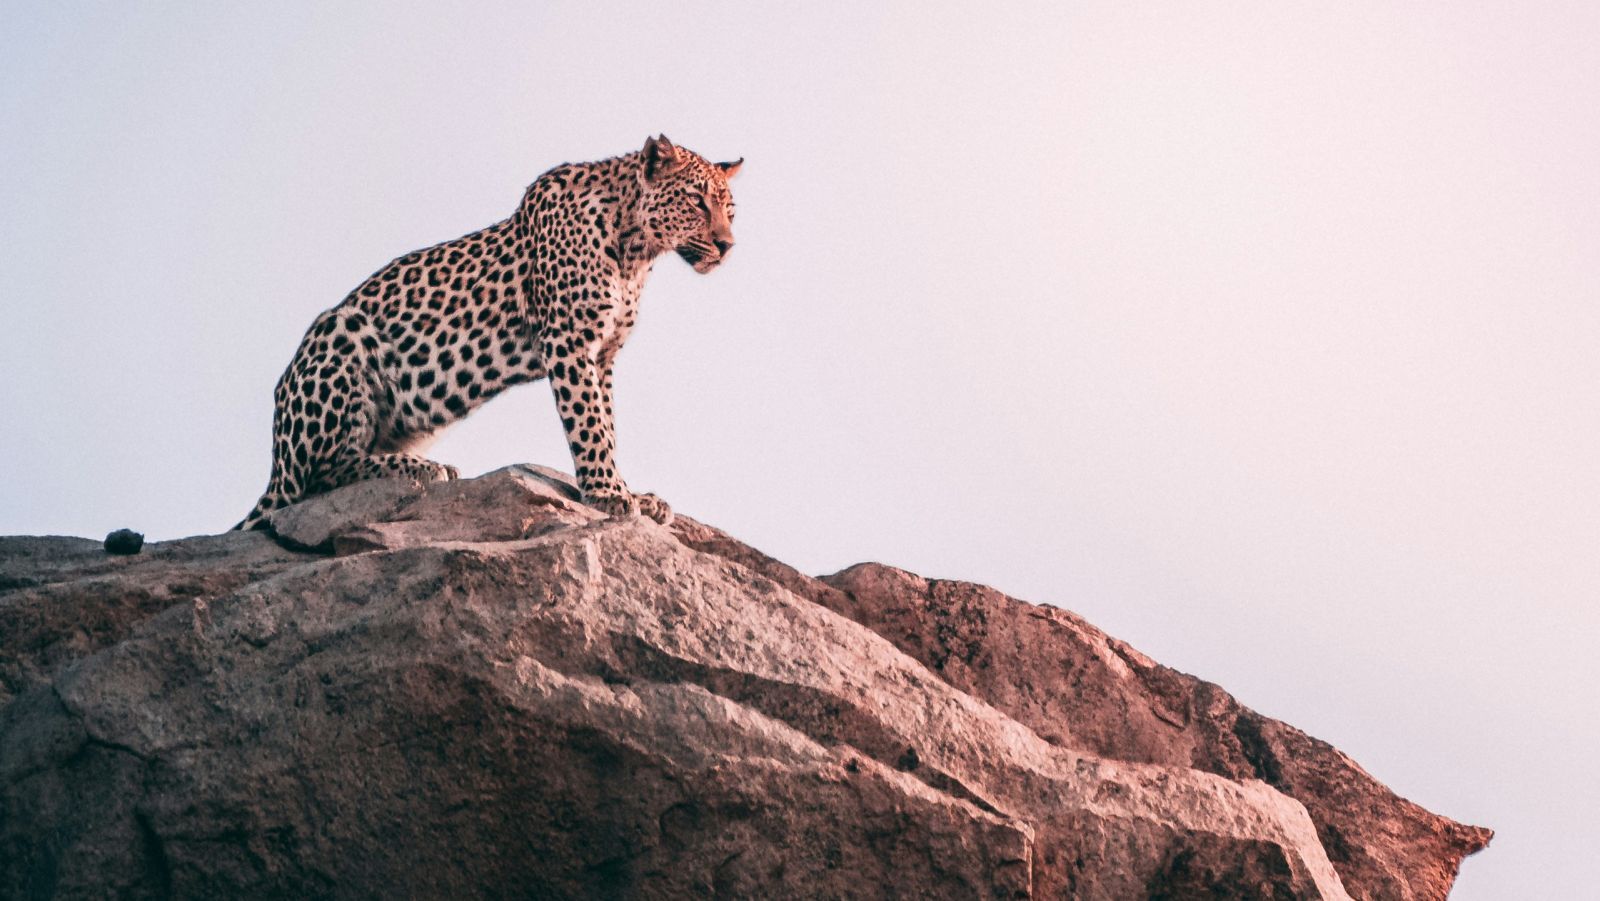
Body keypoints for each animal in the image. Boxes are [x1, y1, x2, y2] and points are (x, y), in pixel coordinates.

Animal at [233, 136, 742, 531]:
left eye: (730, 211)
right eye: (697, 201)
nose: (727, 245)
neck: (636, 250)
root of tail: (275, 465)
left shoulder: (603, 355)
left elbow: (608, 424)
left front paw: (629, 490)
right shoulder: (569, 341)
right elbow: (589, 424)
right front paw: (607, 493)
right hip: (340, 330)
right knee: (317, 478)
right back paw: (424, 469)